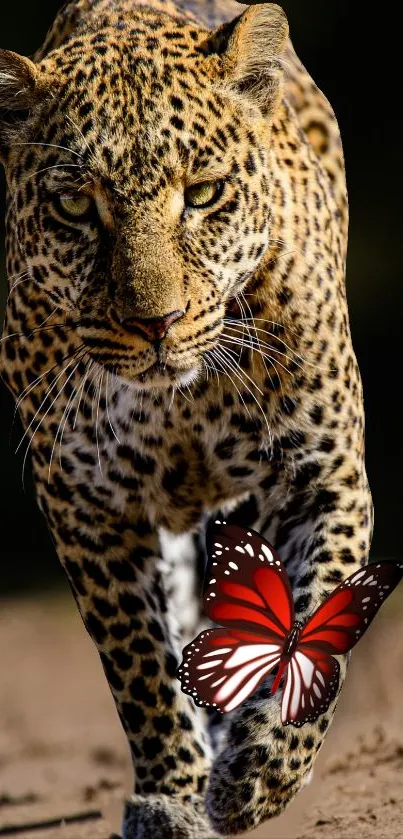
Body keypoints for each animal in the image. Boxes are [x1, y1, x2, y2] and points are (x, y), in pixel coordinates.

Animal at [0, 0, 374, 836]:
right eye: (75, 206)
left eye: (202, 194)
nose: (156, 323)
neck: (183, 396)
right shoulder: (87, 503)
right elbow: (140, 666)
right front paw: (173, 794)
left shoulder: (321, 471)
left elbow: (315, 620)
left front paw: (259, 770)